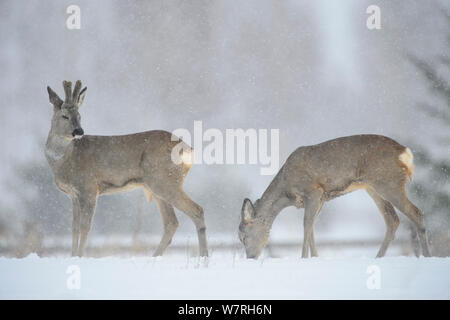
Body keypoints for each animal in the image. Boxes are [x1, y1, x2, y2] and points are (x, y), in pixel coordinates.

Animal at [45, 80, 207, 258]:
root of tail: (189, 150)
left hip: (164, 181)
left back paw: (204, 257)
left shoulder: (89, 187)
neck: (65, 159)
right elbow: (73, 228)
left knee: (196, 210)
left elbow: (85, 227)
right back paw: (154, 257)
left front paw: (80, 257)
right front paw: (73, 256)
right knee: (171, 222)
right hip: (156, 186)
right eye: (64, 116)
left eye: (80, 116)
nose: (79, 131)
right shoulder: (74, 194)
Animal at [239, 134, 432, 258]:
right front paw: (315, 258)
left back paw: (427, 256)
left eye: (243, 236)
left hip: (388, 182)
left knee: (416, 213)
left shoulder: (313, 190)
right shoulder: (321, 198)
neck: (286, 192)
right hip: (373, 187)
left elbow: (306, 225)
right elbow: (312, 227)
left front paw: (304, 258)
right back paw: (378, 257)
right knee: (393, 220)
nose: (250, 258)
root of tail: (405, 152)